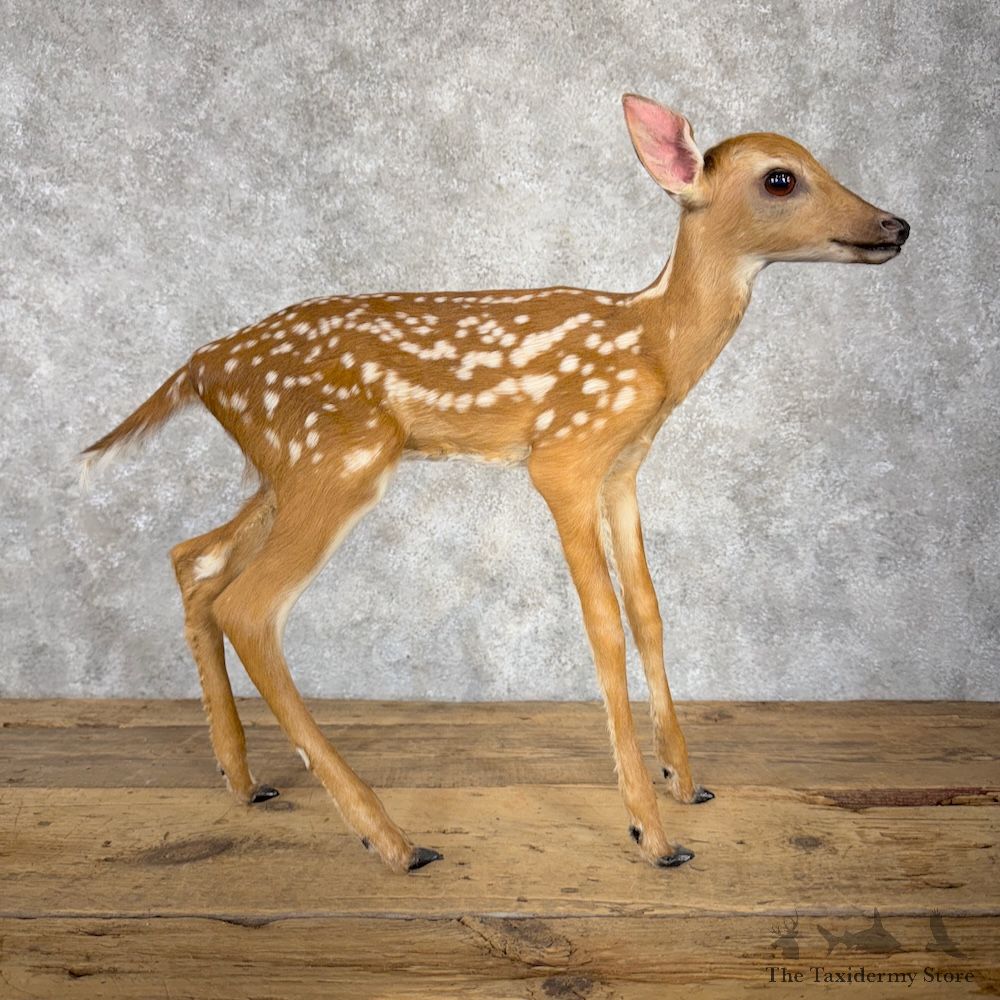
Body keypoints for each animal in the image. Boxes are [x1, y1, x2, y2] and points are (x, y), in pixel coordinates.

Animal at [80, 94, 909, 874]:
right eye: (781, 178)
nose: (897, 225)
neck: (654, 345)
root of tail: (197, 368)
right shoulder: (564, 456)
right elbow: (603, 625)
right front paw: (652, 834)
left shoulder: (625, 467)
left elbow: (648, 611)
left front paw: (686, 782)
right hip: (337, 458)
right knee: (248, 605)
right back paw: (394, 841)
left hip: (285, 466)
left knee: (195, 557)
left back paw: (245, 781)